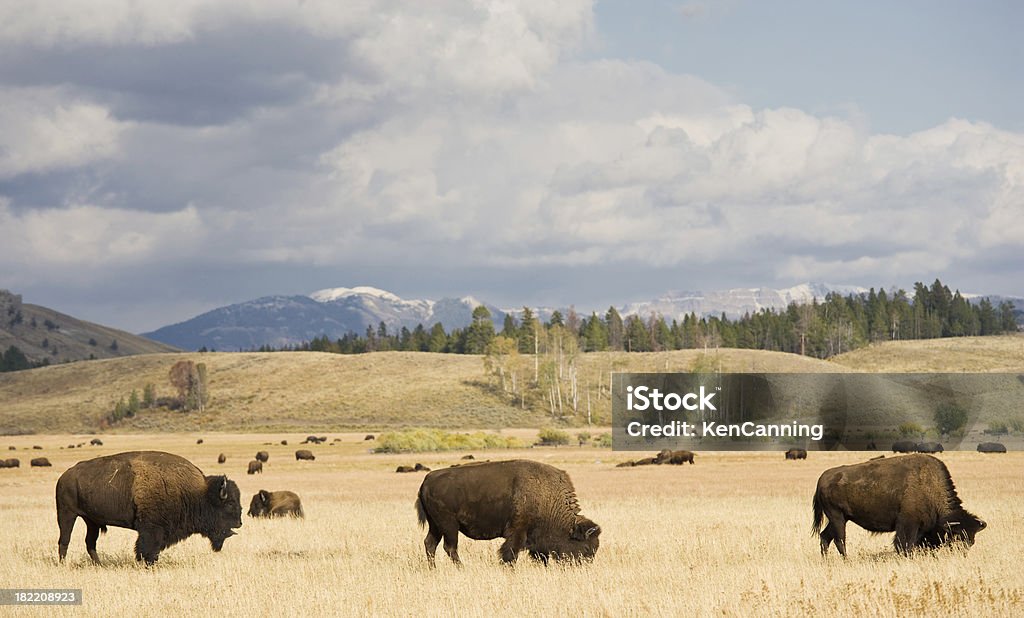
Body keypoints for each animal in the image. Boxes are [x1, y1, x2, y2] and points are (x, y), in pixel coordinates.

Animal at [55, 448, 241, 564]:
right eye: (230, 503)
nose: (239, 523)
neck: (198, 493)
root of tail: (65, 476)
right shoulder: (151, 529)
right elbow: (147, 548)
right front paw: (147, 563)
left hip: (91, 521)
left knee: (90, 543)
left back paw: (99, 565)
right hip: (67, 514)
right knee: (64, 540)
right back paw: (63, 564)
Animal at [413, 458, 598, 564]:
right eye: (586, 548)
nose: (584, 566)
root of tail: (427, 481)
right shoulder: (518, 531)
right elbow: (510, 553)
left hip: (436, 525)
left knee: (430, 544)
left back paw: (433, 569)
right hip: (449, 525)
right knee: (450, 547)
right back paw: (461, 568)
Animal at [815, 452, 983, 556]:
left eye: (971, 541)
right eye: (957, 538)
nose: (962, 555)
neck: (930, 486)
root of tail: (823, 478)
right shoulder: (908, 524)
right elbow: (904, 545)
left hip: (841, 518)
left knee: (825, 537)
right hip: (837, 517)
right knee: (839, 540)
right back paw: (846, 560)